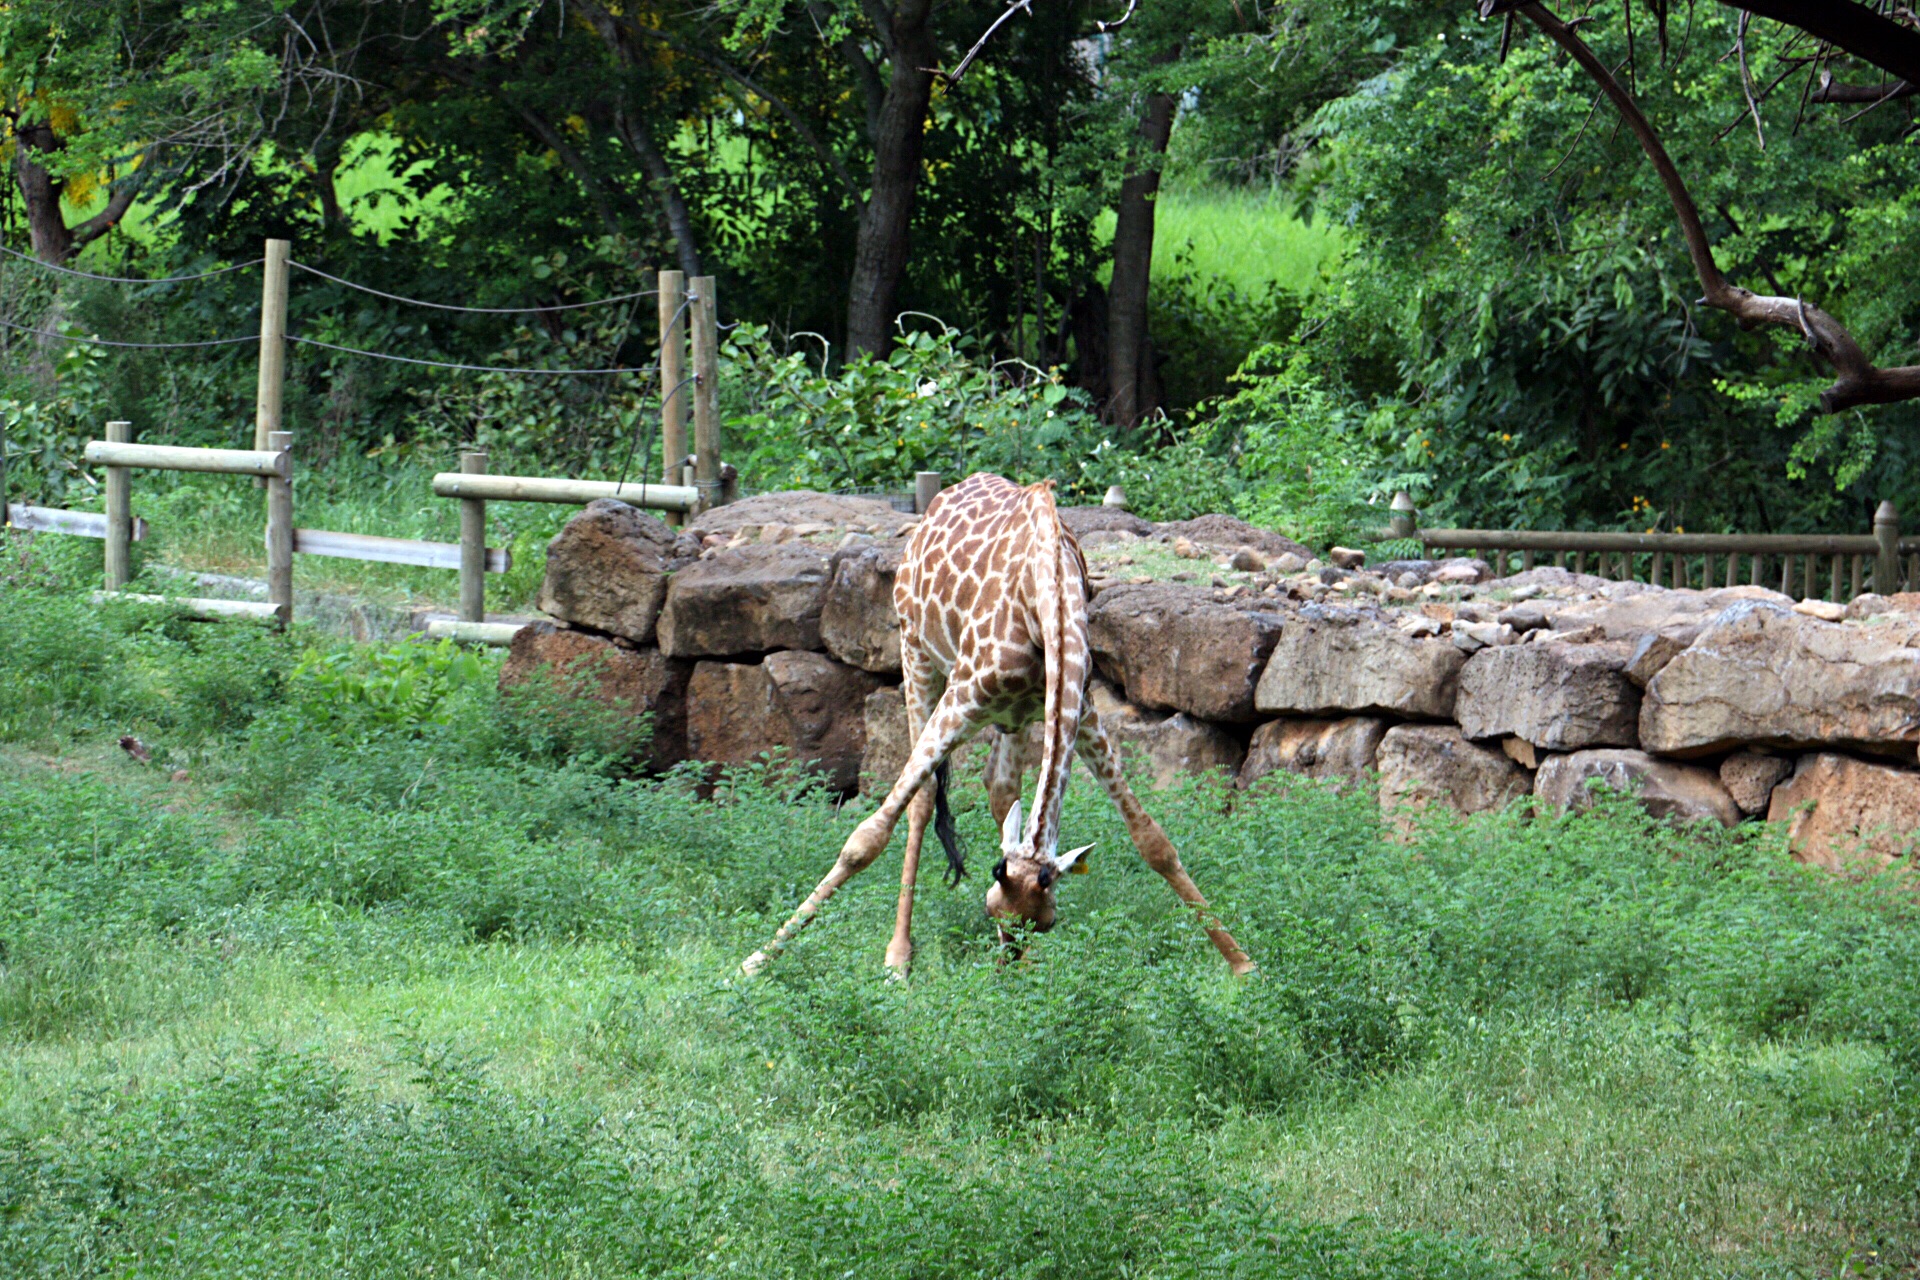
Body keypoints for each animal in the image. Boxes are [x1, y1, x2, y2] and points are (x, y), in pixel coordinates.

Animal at [737, 475, 1259, 974]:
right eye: (994, 909)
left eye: (1045, 922)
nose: (1009, 960)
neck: (1049, 600)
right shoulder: (964, 696)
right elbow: (865, 838)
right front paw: (755, 961)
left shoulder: (1080, 706)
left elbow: (1153, 839)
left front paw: (1243, 965)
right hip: (915, 652)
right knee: (925, 796)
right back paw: (900, 954)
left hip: (1013, 716)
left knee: (1001, 789)